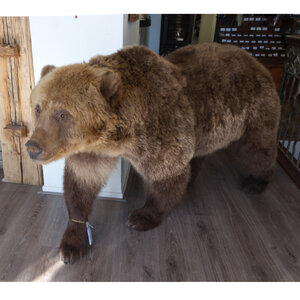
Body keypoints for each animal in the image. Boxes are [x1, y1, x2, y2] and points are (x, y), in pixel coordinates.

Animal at [25, 43, 282, 264]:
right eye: (38, 108)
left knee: (257, 148)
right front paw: (71, 243)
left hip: (254, 109)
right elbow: (82, 182)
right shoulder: (94, 150)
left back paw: (256, 182)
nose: (33, 146)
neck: (121, 136)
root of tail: (252, 58)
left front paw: (141, 217)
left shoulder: (161, 129)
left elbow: (165, 174)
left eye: (62, 114)